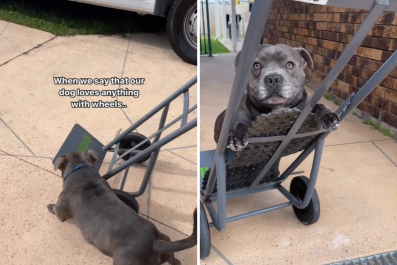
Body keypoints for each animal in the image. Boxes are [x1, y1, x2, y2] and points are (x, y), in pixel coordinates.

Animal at [47, 150, 196, 262]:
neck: (84, 177)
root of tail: (154, 243)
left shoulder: (61, 209)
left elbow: (56, 210)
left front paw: (49, 206)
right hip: (165, 239)